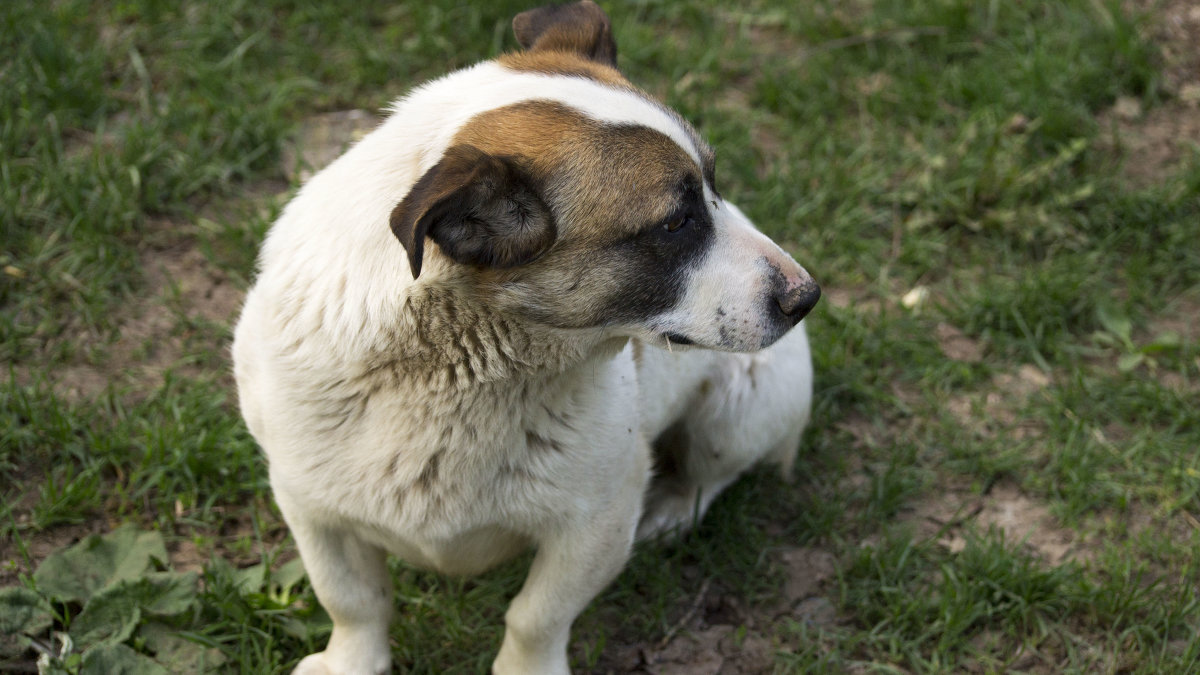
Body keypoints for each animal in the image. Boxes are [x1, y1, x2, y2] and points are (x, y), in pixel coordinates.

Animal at [231, 2, 816, 667]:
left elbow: (535, 617)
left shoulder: (594, 524)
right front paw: (353, 663)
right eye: (675, 223)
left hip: (736, 415)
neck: (451, 378)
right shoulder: (309, 508)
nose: (807, 296)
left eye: (715, 188)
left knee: (708, 477)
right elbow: (353, 600)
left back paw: (670, 510)